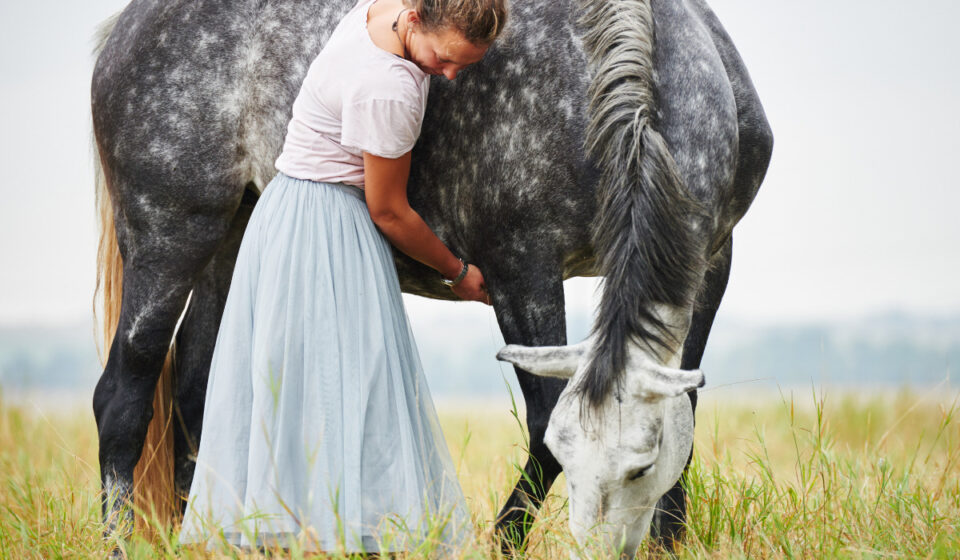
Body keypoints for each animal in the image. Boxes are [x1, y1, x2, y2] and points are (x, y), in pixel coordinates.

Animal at [90, 0, 771, 554]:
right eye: (569, 452)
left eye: (641, 467)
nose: (600, 552)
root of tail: (127, 30)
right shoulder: (520, 268)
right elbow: (542, 419)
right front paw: (503, 541)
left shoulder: (710, 261)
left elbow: (686, 408)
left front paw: (669, 541)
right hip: (171, 234)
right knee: (123, 394)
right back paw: (119, 540)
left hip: (229, 237)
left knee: (194, 392)